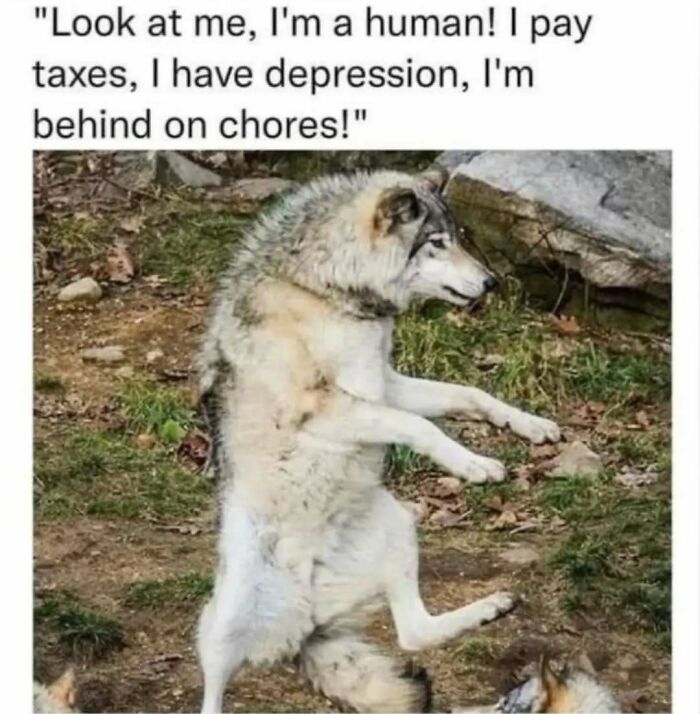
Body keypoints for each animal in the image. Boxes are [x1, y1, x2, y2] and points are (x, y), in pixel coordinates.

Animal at [196, 168, 561, 713]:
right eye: (436, 243)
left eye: (460, 238)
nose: (491, 281)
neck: (325, 289)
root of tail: (309, 618)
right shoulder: (326, 409)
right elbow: (421, 426)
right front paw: (474, 465)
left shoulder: (386, 383)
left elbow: (470, 395)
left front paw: (530, 426)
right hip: (219, 626)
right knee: (213, 689)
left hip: (401, 526)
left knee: (414, 633)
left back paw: (493, 607)